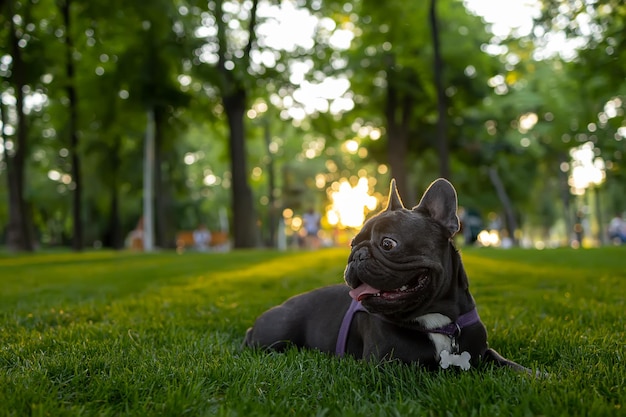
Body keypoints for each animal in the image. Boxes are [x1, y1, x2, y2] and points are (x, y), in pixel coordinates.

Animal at [243, 177, 528, 372]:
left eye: (388, 244)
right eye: (352, 243)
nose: (357, 255)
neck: (438, 320)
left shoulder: (483, 353)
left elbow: (512, 366)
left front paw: (536, 377)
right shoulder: (386, 364)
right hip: (278, 332)